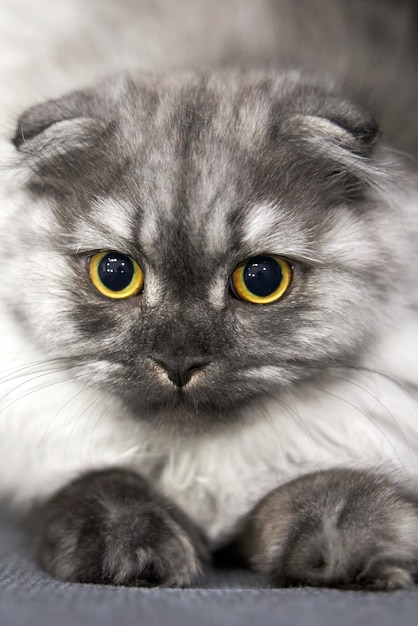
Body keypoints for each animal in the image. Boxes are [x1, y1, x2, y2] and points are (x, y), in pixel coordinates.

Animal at [0, 0, 418, 588]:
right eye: (114, 274)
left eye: (262, 279)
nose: (179, 362)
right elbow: (104, 487)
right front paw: (131, 553)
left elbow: (336, 492)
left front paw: (348, 552)